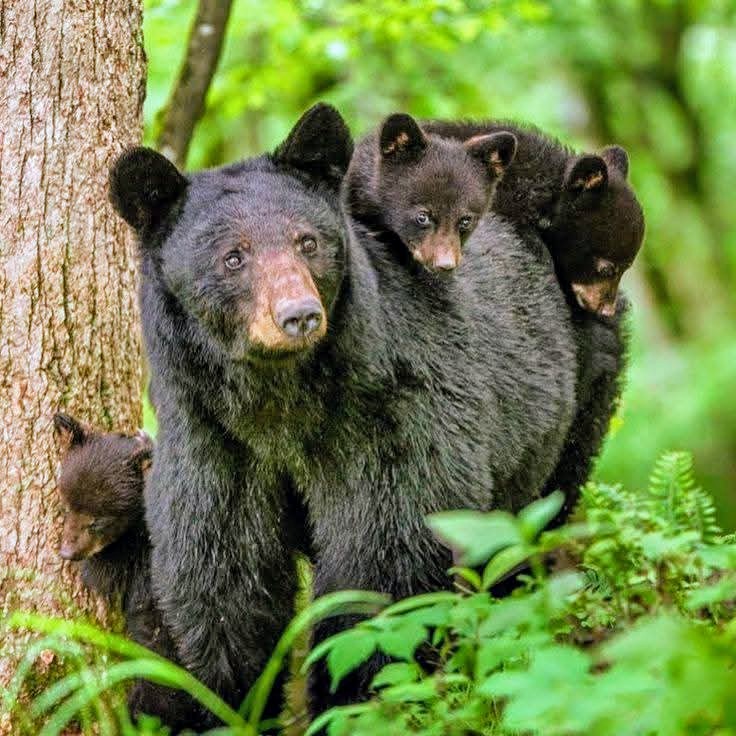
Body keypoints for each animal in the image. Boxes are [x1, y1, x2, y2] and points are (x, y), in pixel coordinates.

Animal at [53, 413, 200, 731]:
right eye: (67, 505)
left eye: (98, 521)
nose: (67, 552)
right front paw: (65, 422)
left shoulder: (139, 556)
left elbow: (103, 574)